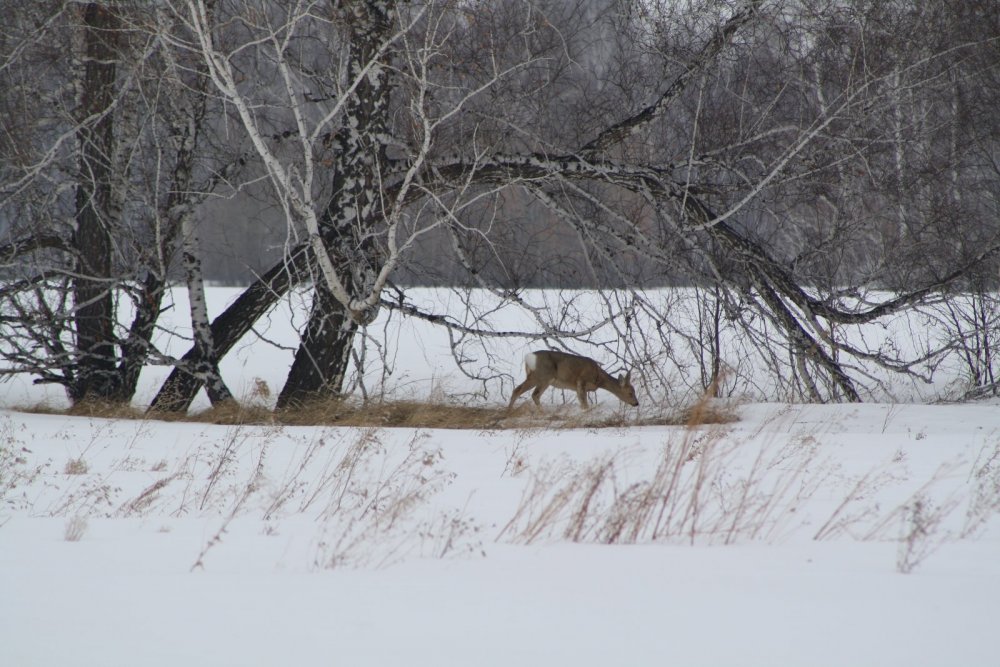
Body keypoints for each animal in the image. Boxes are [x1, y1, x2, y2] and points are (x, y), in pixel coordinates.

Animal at [508, 352, 640, 410]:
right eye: (630, 393)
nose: (636, 403)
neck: (598, 378)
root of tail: (528, 357)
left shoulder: (579, 387)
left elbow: (582, 402)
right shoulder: (581, 381)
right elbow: (585, 403)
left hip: (534, 377)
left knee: (517, 389)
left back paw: (509, 411)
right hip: (543, 376)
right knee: (534, 394)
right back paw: (542, 412)